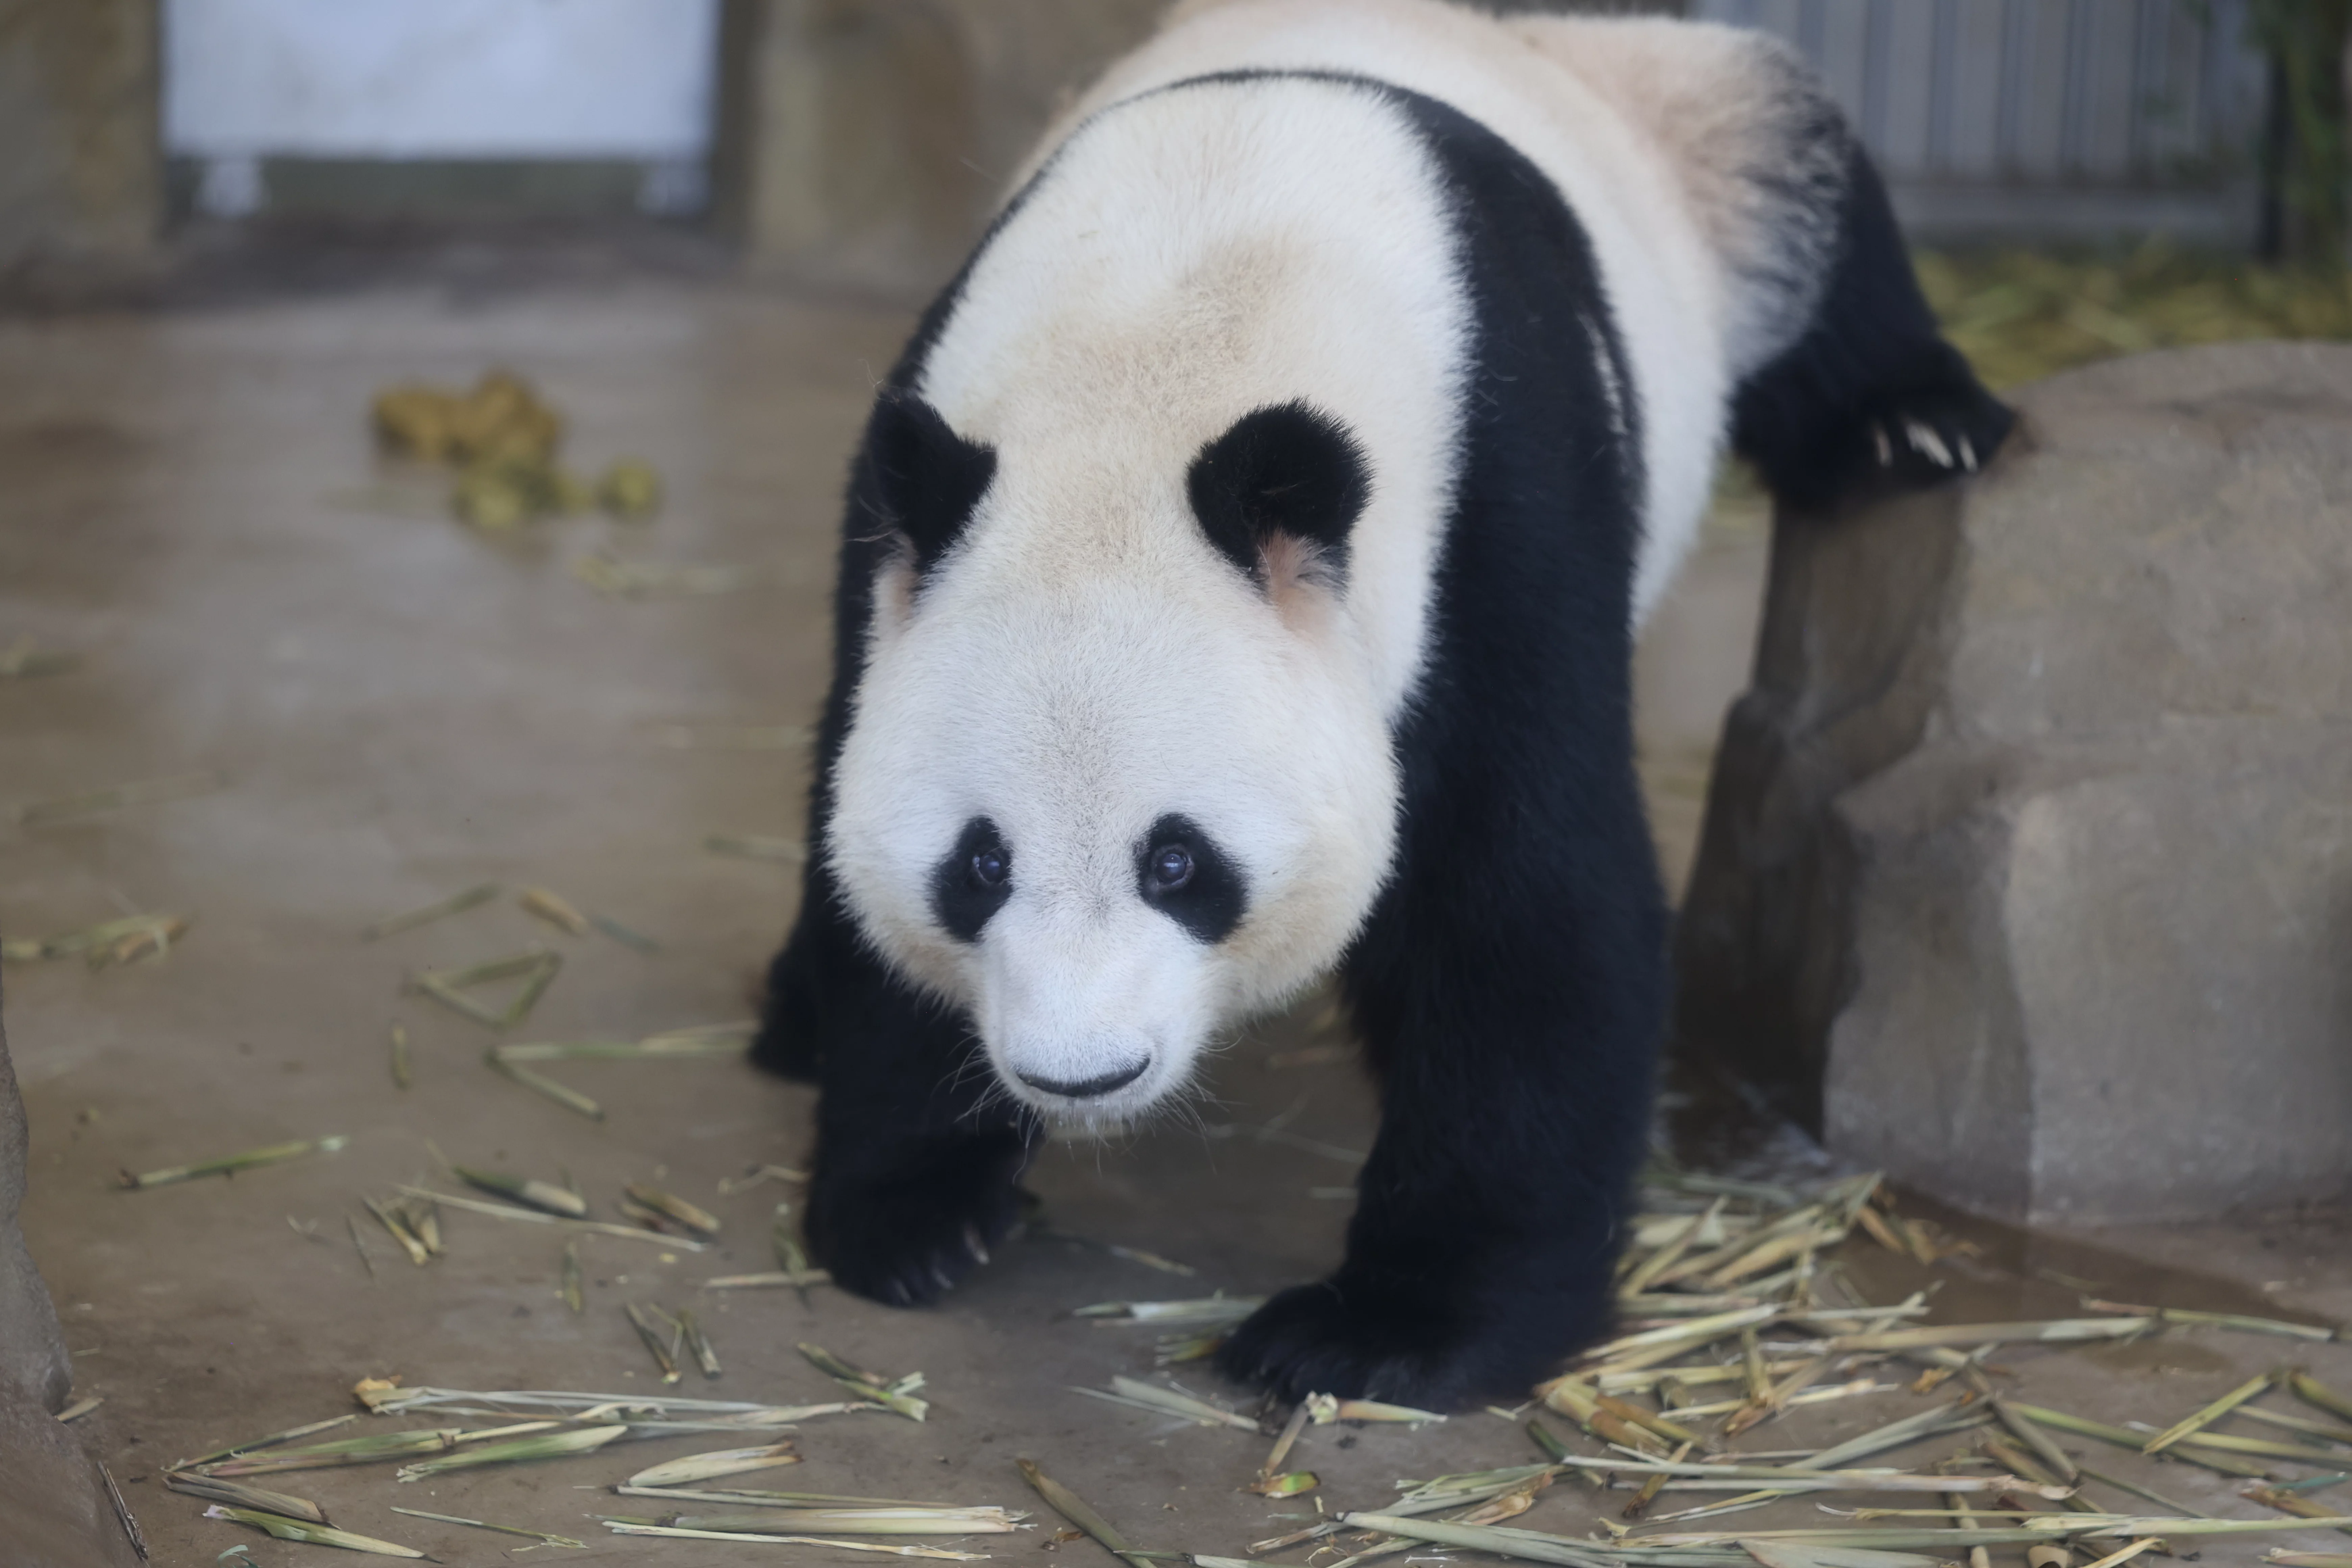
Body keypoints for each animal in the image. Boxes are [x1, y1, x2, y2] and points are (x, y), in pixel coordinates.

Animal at [754, 0, 2010, 1407]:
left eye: (1178, 861)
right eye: (978, 864)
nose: (1083, 1073)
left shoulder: (1494, 514)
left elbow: (1519, 899)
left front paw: (1385, 1327)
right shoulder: (903, 516)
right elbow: (844, 814)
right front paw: (913, 1208)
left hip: (1698, 138)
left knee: (1804, 198)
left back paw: (1910, 424)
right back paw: (792, 1019)